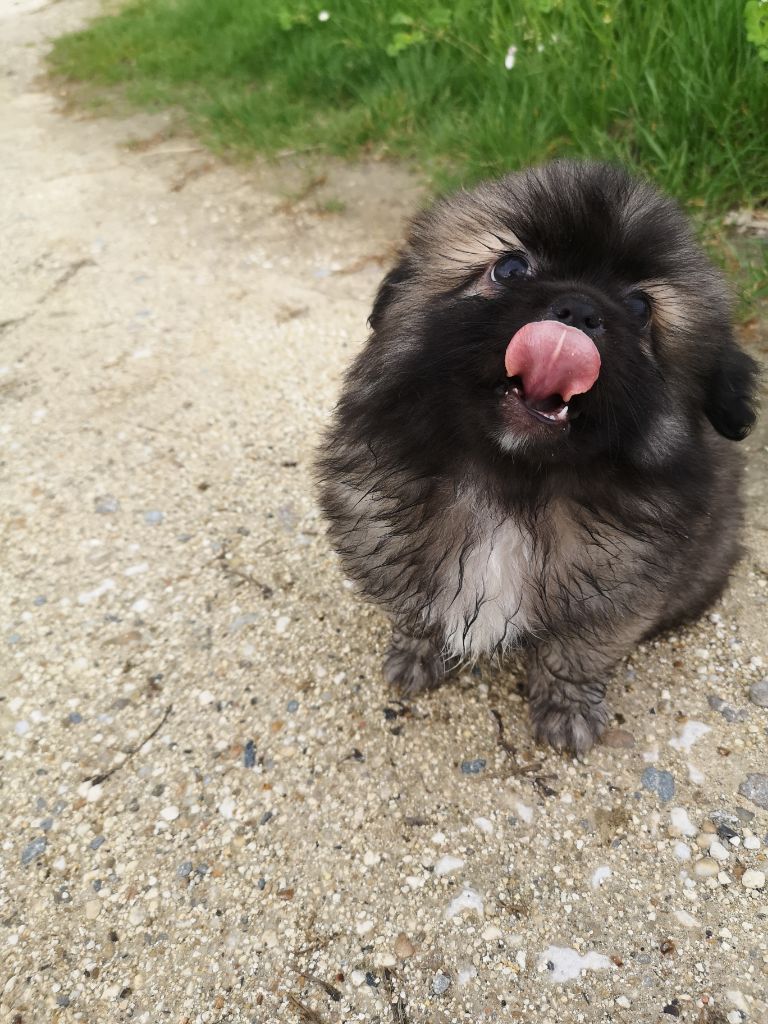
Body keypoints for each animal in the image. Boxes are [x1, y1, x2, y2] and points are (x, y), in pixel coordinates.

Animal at [315, 157, 761, 753]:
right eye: (509, 269)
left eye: (640, 307)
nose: (579, 308)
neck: (508, 478)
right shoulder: (388, 537)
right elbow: (416, 611)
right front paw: (415, 657)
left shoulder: (613, 600)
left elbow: (574, 656)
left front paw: (565, 712)